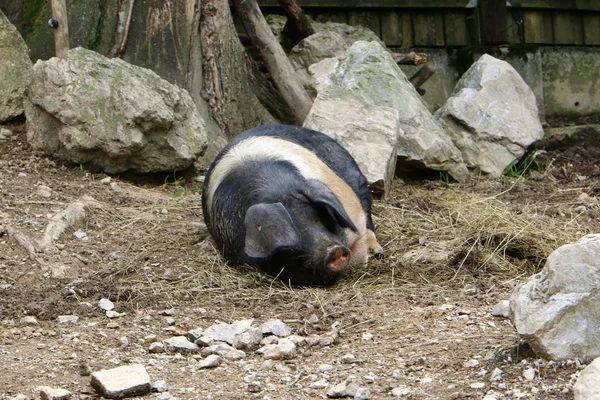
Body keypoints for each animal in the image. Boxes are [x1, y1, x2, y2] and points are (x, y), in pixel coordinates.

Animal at [202, 124, 380, 284]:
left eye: (319, 216)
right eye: (295, 232)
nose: (335, 251)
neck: (278, 189)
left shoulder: (352, 209)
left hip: (358, 182)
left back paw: (377, 251)